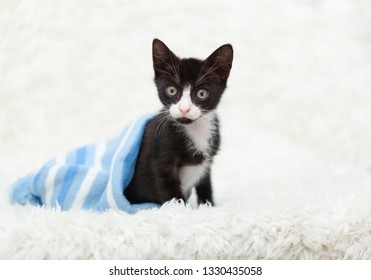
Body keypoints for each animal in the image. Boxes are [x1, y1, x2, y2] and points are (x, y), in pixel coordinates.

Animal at [125, 38, 235, 206]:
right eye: (172, 90)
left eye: (201, 93)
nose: (184, 109)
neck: (194, 129)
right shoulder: (162, 155)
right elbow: (169, 191)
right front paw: (180, 209)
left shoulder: (207, 162)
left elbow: (206, 185)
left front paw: (208, 206)